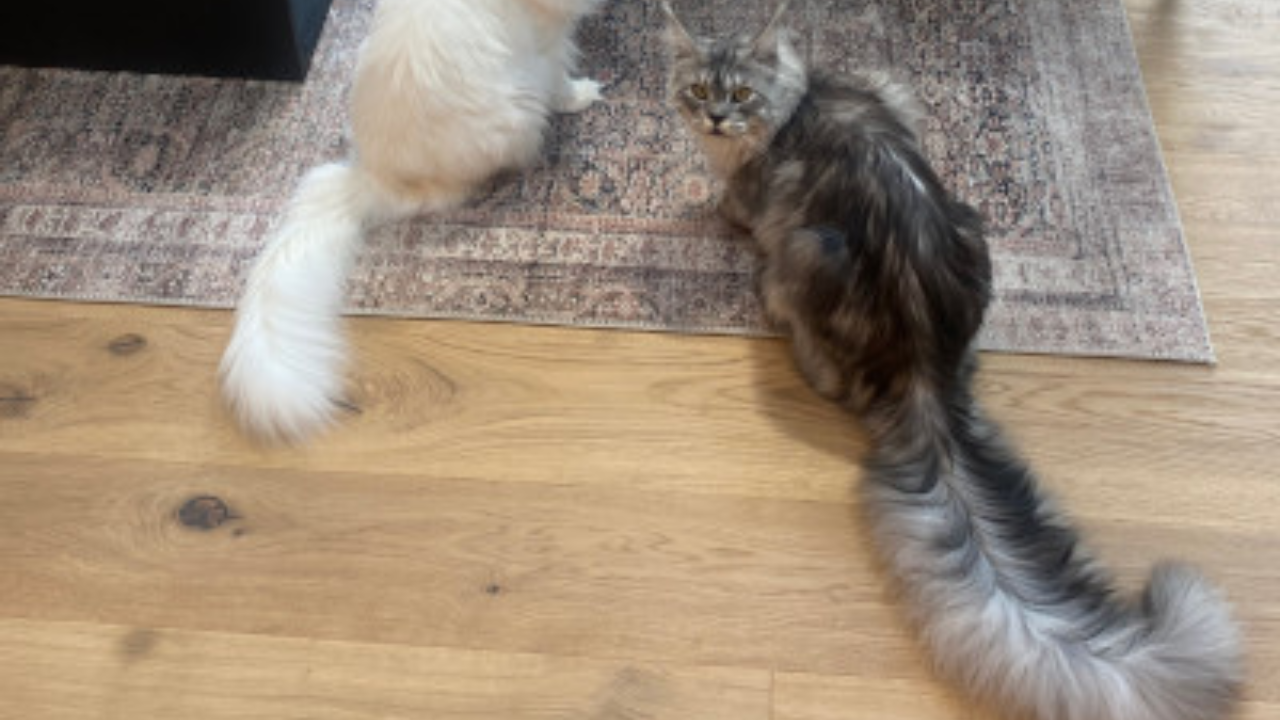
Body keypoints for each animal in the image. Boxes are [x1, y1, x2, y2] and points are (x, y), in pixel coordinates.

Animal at [660, 3, 1242, 719]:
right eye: (698, 91)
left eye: (741, 95)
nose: (715, 118)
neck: (798, 99)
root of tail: (922, 366)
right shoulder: (891, 94)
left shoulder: (757, 193)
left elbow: (727, 205)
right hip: (971, 222)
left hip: (805, 247)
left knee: (820, 368)